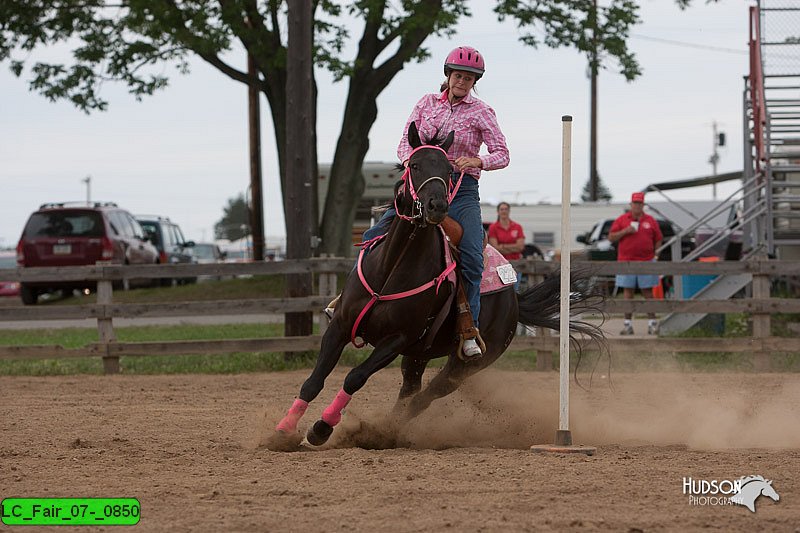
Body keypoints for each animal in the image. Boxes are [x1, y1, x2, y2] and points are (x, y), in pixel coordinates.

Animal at [272, 122, 604, 446]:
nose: (436, 206)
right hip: (417, 356)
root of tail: (514, 299)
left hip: (464, 365)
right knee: (409, 392)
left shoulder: (397, 339)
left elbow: (355, 376)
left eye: (449, 169)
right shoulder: (341, 325)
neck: (391, 269)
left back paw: (383, 432)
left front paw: (321, 429)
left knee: (424, 397)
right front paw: (284, 430)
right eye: (415, 165)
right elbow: (313, 380)